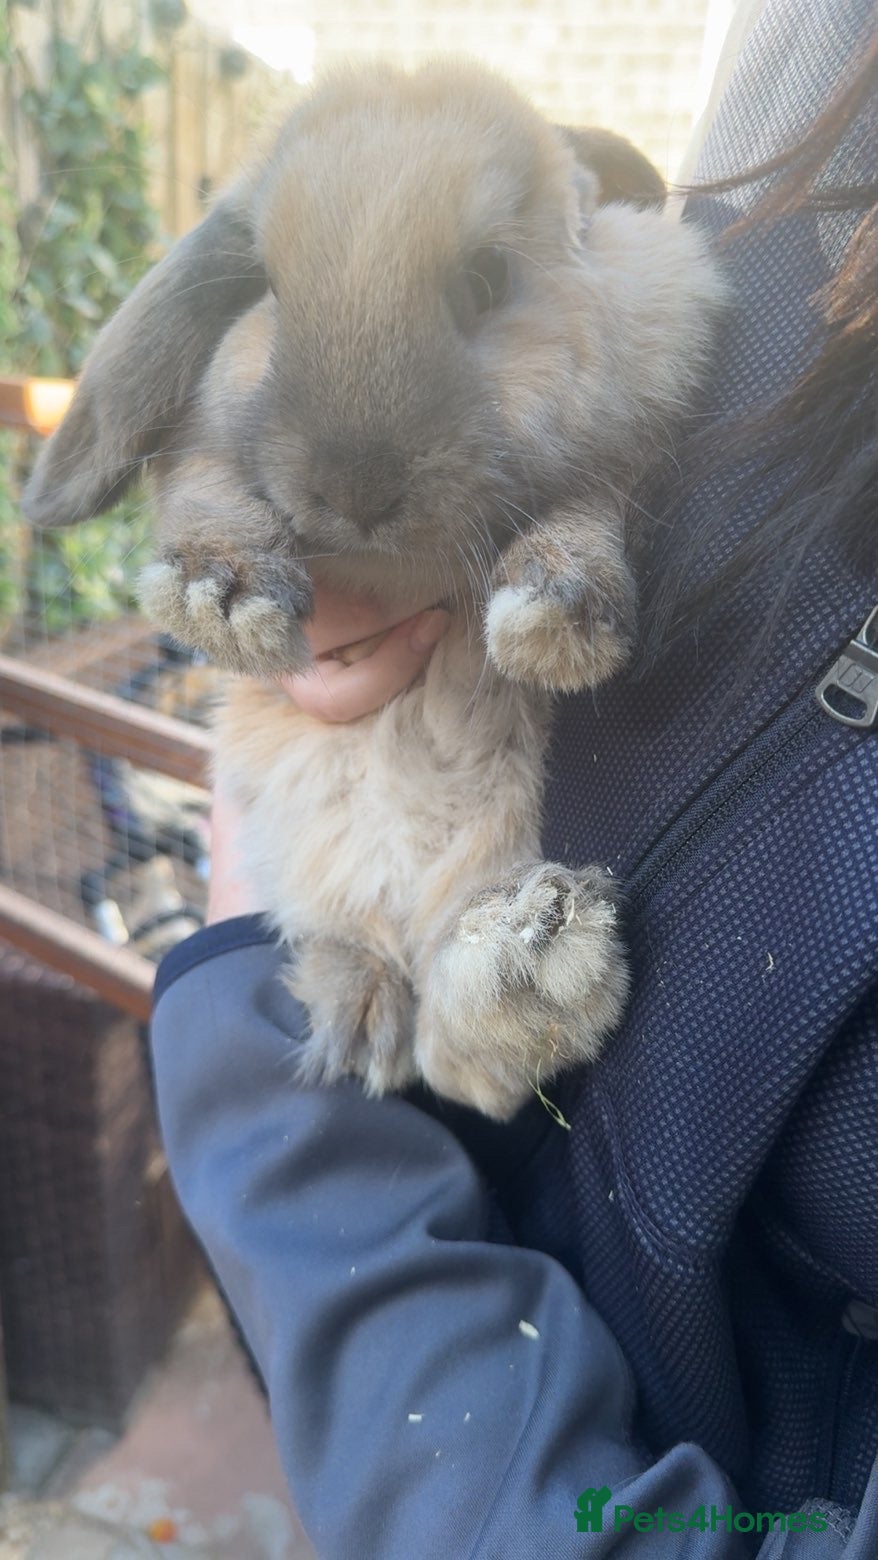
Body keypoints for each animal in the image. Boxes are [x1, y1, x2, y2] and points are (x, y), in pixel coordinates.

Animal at [24, 61, 723, 1120]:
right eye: (268, 288)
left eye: (487, 280)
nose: (352, 488)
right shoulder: (208, 454)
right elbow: (209, 494)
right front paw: (223, 603)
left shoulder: (617, 455)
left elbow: (587, 512)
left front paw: (554, 627)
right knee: (357, 962)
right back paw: (373, 1017)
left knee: (462, 1055)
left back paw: (535, 962)